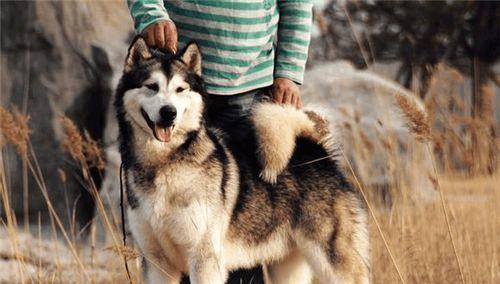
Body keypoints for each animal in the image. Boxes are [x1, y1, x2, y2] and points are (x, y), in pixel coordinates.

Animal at [115, 36, 370, 282]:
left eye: (180, 89)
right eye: (151, 87)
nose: (169, 113)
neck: (163, 164)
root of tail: (316, 152)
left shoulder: (204, 259)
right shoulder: (156, 263)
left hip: (335, 263)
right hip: (286, 267)